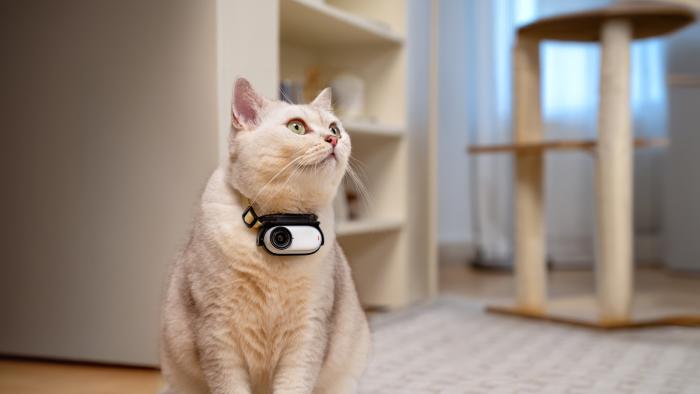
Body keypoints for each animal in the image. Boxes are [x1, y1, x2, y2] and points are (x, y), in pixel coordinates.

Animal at [160, 77, 372, 394]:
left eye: (335, 129)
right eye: (297, 127)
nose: (332, 140)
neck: (278, 222)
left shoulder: (308, 332)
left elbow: (294, 386)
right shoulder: (217, 332)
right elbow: (230, 387)